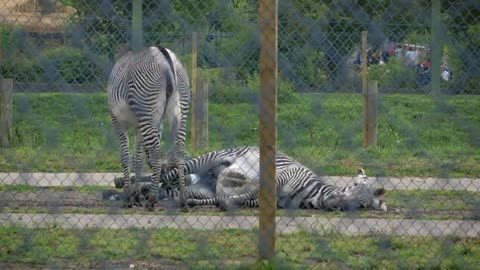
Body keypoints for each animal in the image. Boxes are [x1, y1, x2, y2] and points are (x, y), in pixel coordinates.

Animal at [108, 46, 190, 209]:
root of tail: (164, 54)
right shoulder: (140, 127)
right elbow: (138, 160)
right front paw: (137, 196)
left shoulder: (118, 123)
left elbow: (125, 157)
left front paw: (129, 197)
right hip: (180, 112)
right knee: (179, 151)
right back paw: (183, 200)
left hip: (146, 109)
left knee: (156, 154)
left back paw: (152, 200)